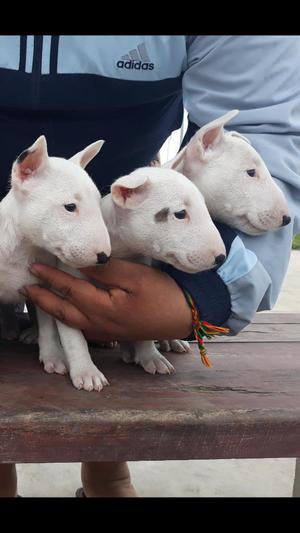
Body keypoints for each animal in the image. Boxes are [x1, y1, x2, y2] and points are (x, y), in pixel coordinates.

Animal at [0, 135, 111, 388]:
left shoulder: (49, 286)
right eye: (70, 207)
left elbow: (59, 329)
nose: (104, 257)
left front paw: (76, 367)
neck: (24, 247)